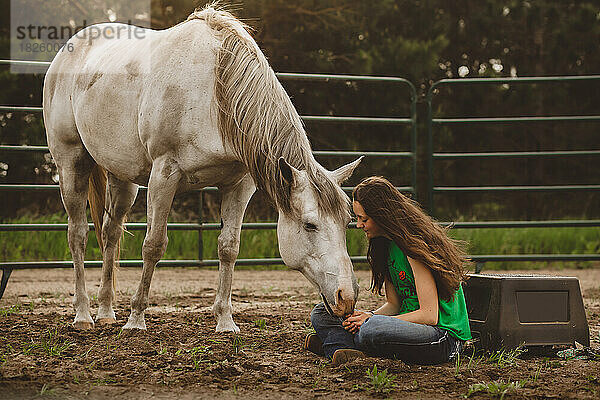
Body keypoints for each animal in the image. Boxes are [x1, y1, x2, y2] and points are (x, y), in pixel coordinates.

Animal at [43, 5, 360, 332]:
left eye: (348, 221)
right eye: (310, 225)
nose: (346, 297)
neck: (215, 92)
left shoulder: (239, 185)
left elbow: (228, 247)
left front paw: (225, 321)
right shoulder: (164, 175)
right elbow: (153, 245)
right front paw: (136, 319)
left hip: (122, 177)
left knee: (111, 233)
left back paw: (106, 311)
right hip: (71, 163)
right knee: (78, 234)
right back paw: (83, 315)